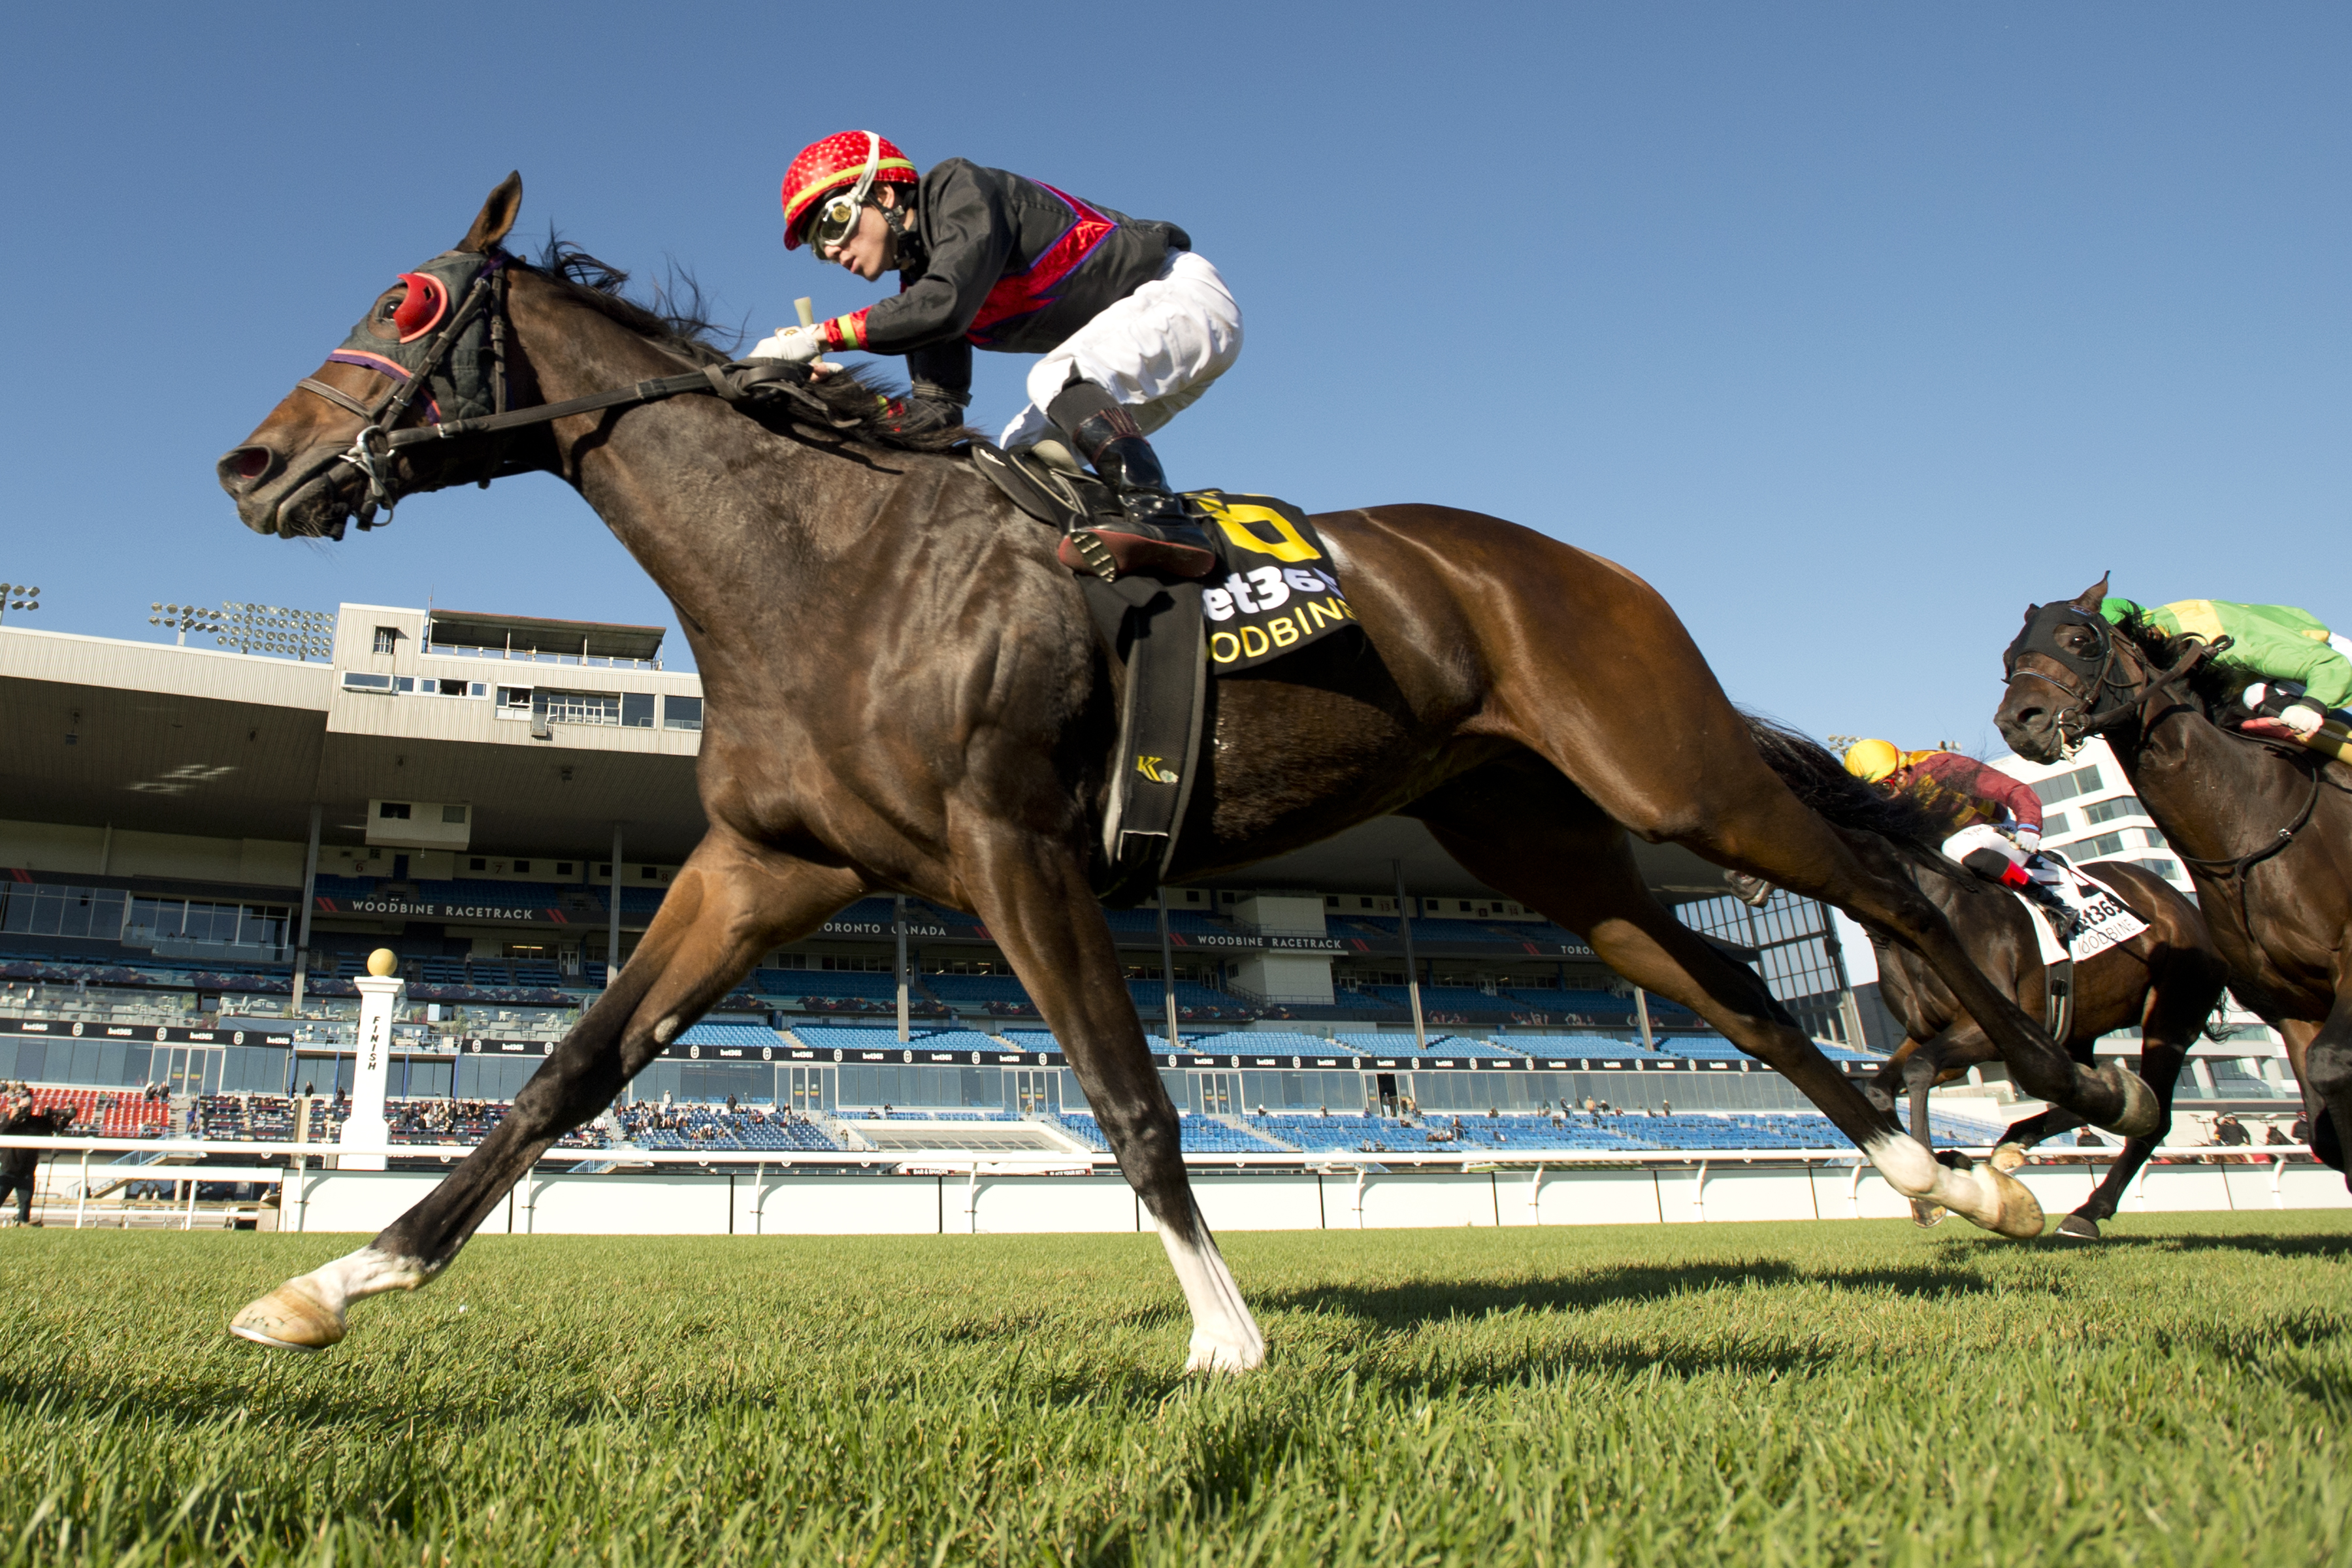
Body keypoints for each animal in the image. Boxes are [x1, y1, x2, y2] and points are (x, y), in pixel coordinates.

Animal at [206, 177, 2154, 1363]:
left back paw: (2073, 1094)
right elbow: (566, 1074)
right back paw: (1947, 1178)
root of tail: (1588, 570)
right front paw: (333, 1279)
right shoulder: (765, 866)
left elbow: (1130, 1096)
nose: (249, 464)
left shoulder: (1015, 848)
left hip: (1667, 773)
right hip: (1539, 838)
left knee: (1891, 887)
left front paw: (1227, 1331)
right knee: (1738, 996)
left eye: (404, 295)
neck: (827, 563)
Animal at [1750, 719, 2220, 1241]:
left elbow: (1918, 1072)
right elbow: (1883, 1085)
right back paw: (2026, 1137)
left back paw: (2087, 1210)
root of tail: (2179, 902)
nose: (1742, 884)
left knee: (2156, 1117)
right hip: (2080, 1024)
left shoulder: (1986, 1028)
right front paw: (1942, 1173)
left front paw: (1937, 1186)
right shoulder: (1927, 1032)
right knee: (2089, 1087)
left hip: (2171, 1014)